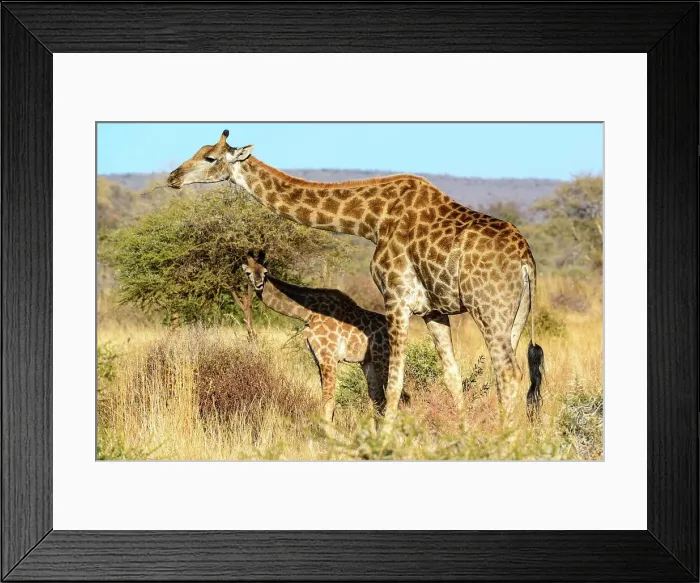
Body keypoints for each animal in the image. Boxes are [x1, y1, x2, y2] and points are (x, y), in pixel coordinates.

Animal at [240, 253, 403, 423]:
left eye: (265, 272)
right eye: (248, 273)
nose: (259, 285)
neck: (308, 313)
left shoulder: (328, 357)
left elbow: (328, 403)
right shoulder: (318, 359)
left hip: (383, 358)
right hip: (368, 362)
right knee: (378, 400)